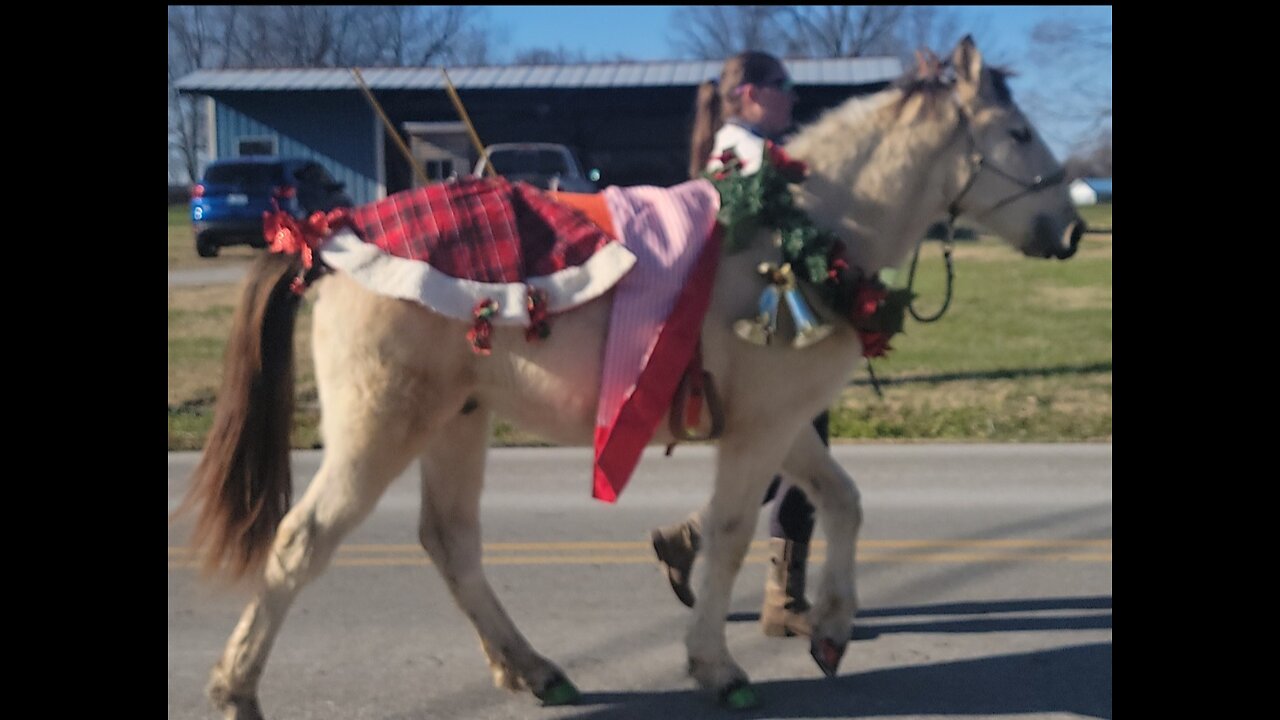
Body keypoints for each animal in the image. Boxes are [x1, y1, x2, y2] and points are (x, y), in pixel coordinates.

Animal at [175, 39, 1085, 717]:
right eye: (1016, 133)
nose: (1073, 229)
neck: (798, 233)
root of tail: (325, 239)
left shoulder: (783, 423)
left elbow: (842, 502)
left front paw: (830, 625)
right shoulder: (759, 432)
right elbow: (731, 533)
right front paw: (717, 667)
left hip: (457, 421)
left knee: (451, 542)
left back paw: (532, 668)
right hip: (381, 428)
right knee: (302, 541)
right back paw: (236, 689)